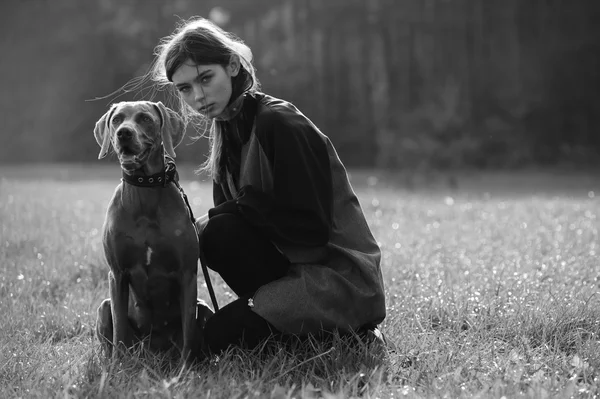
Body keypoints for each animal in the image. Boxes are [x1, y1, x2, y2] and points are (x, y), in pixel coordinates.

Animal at [92, 101, 214, 366]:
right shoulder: (117, 274)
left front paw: (185, 370)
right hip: (104, 307)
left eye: (145, 119)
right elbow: (119, 331)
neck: (144, 191)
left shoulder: (187, 273)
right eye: (116, 119)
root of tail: (154, 353)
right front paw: (117, 369)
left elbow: (189, 331)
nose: (124, 133)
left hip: (205, 308)